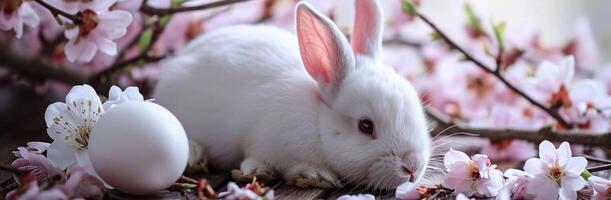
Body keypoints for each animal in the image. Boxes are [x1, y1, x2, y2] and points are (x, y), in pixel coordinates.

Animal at [153, 0, 430, 189]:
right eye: (365, 126)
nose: (412, 167)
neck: (318, 122)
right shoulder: (266, 140)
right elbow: (264, 159)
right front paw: (313, 175)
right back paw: (195, 155)